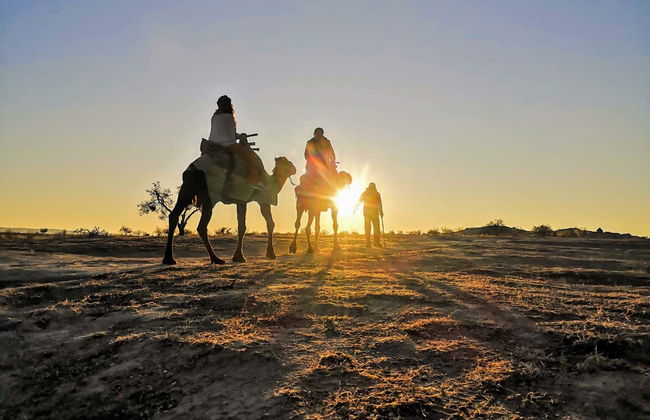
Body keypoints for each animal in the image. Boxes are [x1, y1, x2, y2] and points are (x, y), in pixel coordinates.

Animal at [162, 150, 296, 265]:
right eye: (288, 163)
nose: (294, 169)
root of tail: (192, 170)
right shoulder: (253, 199)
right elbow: (255, 225)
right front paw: (243, 256)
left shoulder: (244, 201)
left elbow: (255, 224)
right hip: (211, 195)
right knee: (201, 226)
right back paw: (216, 259)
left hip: (186, 190)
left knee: (174, 215)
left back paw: (169, 259)